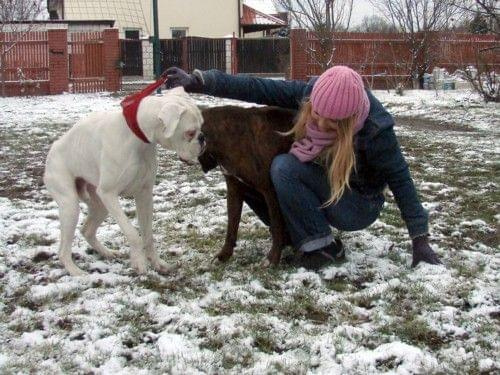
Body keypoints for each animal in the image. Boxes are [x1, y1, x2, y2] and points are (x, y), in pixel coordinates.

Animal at [43, 87, 203, 276]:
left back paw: (107, 253)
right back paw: (77, 272)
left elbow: (148, 235)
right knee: (63, 250)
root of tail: (54, 147)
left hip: (101, 206)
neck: (138, 138)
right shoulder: (109, 194)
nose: (203, 138)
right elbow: (132, 233)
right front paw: (139, 262)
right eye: (190, 132)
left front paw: (157, 263)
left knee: (87, 230)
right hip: (71, 206)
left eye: (201, 127)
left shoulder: (144, 195)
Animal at [196, 106, 296, 268]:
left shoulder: (270, 191)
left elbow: (276, 226)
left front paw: (272, 258)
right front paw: (224, 254)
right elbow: (231, 225)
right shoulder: (234, 189)